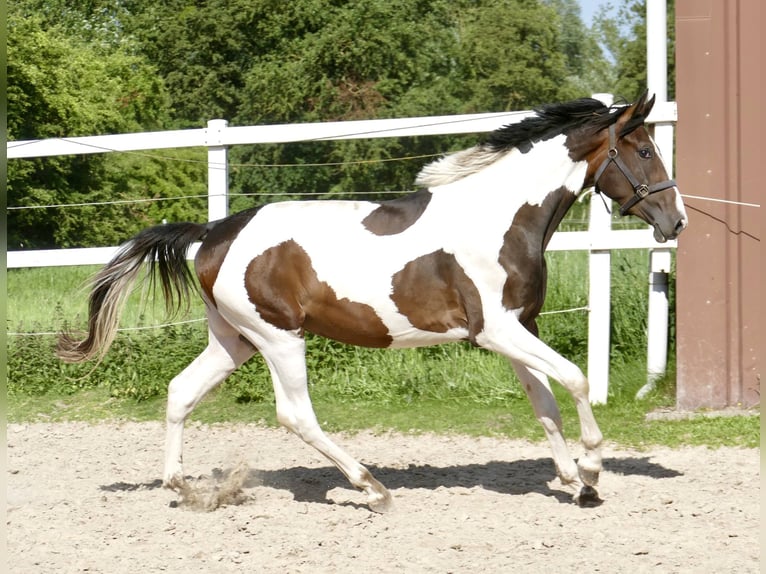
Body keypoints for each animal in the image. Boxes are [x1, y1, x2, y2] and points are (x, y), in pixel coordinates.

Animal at [55, 92, 688, 510]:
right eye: (645, 151)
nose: (675, 220)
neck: (500, 218)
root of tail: (214, 232)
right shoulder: (496, 331)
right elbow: (577, 380)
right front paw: (592, 470)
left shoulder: (518, 329)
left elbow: (546, 404)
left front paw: (571, 480)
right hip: (279, 338)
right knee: (295, 414)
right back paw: (370, 487)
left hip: (234, 339)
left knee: (181, 391)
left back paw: (184, 487)